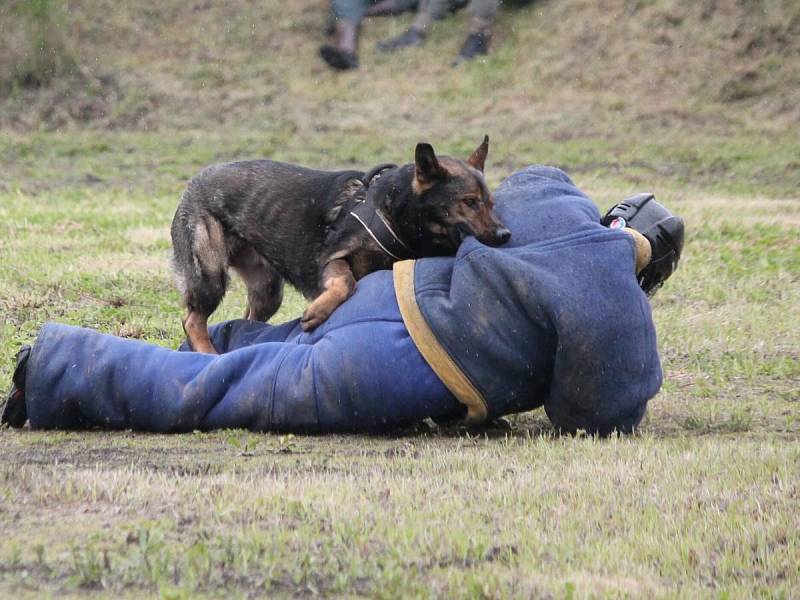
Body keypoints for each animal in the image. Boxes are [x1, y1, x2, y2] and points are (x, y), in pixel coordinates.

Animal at [171, 137, 510, 352]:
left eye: (491, 203)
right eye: (470, 202)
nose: (505, 234)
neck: (392, 212)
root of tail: (195, 181)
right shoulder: (333, 259)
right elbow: (346, 282)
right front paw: (319, 311)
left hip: (267, 291)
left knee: (247, 321)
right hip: (211, 274)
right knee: (192, 320)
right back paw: (208, 355)